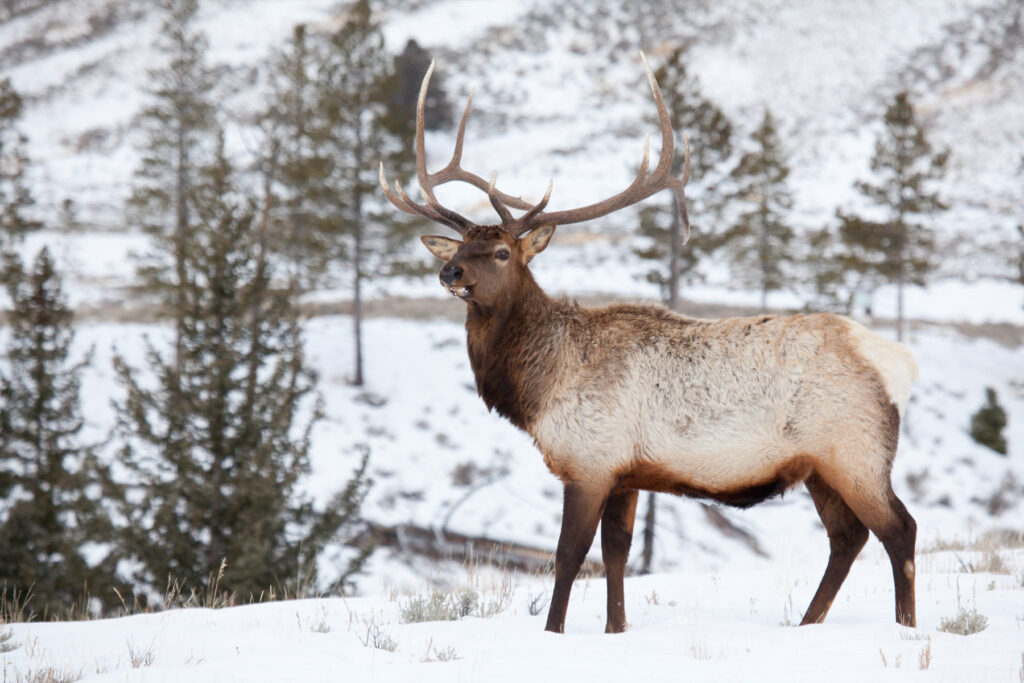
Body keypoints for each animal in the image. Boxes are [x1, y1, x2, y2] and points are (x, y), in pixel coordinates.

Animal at [379, 55, 919, 634]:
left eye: (502, 252)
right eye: (460, 245)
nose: (449, 271)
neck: (537, 388)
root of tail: (900, 364)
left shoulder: (590, 461)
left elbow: (569, 556)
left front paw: (553, 632)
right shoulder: (625, 473)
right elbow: (618, 553)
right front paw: (616, 629)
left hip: (856, 451)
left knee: (899, 530)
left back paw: (905, 627)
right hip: (821, 466)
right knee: (848, 537)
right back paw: (808, 624)